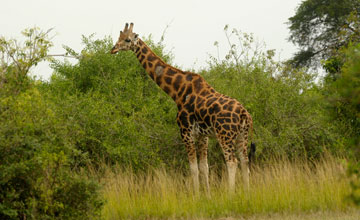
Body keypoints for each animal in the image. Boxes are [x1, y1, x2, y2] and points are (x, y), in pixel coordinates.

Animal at [111, 23, 255, 193]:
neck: (178, 92)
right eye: (118, 37)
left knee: (232, 162)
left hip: (224, 134)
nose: (113, 49)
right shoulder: (202, 135)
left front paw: (196, 195)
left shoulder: (185, 131)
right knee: (245, 162)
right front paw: (208, 195)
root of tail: (244, 114)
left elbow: (193, 168)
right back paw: (246, 194)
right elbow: (204, 167)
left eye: (127, 39)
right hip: (242, 136)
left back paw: (230, 194)